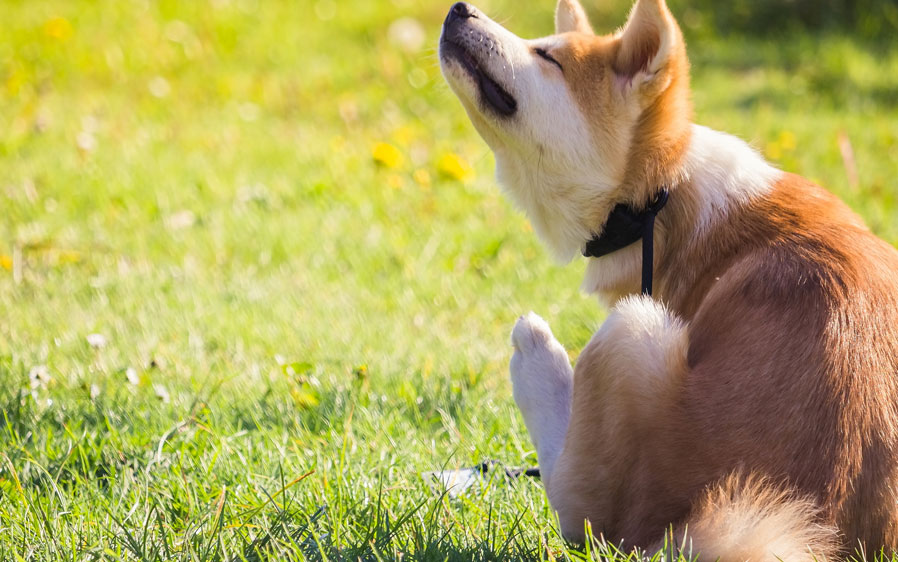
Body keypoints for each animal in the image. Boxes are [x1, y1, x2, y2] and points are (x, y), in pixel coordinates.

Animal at [438, 0, 896, 552]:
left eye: (548, 56)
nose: (460, 8)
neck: (661, 196)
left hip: (628, 330)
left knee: (574, 500)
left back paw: (536, 356)